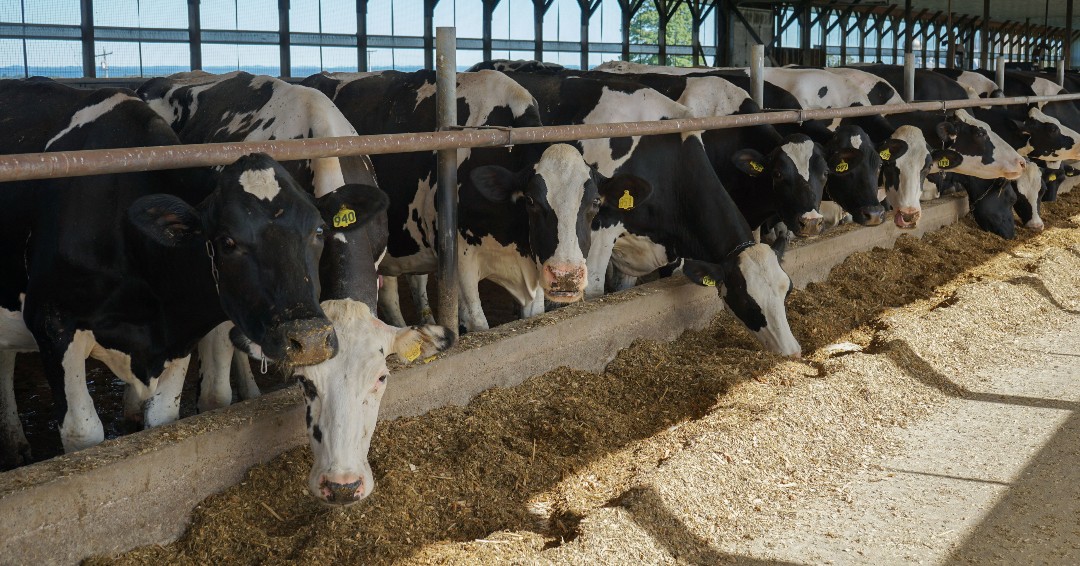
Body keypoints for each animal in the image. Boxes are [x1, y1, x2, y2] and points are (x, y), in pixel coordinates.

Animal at [0, 78, 359, 465]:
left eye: (318, 230)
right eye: (227, 241)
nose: (309, 339)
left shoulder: (179, 334)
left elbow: (162, 417)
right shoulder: (51, 323)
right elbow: (83, 431)